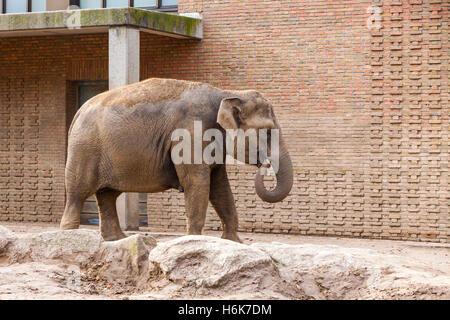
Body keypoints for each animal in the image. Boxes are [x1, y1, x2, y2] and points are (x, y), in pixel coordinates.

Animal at [61, 78, 294, 242]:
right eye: (268, 131)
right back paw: (69, 234)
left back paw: (117, 239)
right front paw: (194, 241)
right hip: (84, 150)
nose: (265, 163)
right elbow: (198, 182)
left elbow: (220, 187)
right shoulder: (191, 132)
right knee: (78, 192)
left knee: (107, 194)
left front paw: (233, 242)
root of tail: (78, 112)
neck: (226, 94)